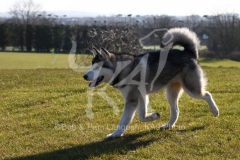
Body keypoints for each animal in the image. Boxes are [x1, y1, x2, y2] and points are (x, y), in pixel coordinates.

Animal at [83, 27, 219, 138]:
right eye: (91, 66)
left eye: (97, 67)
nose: (85, 76)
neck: (123, 69)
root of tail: (188, 52)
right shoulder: (141, 96)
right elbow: (141, 116)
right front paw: (153, 116)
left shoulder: (132, 100)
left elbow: (124, 121)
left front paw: (115, 134)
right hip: (170, 93)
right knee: (176, 110)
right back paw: (168, 125)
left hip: (191, 89)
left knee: (207, 94)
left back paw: (215, 111)